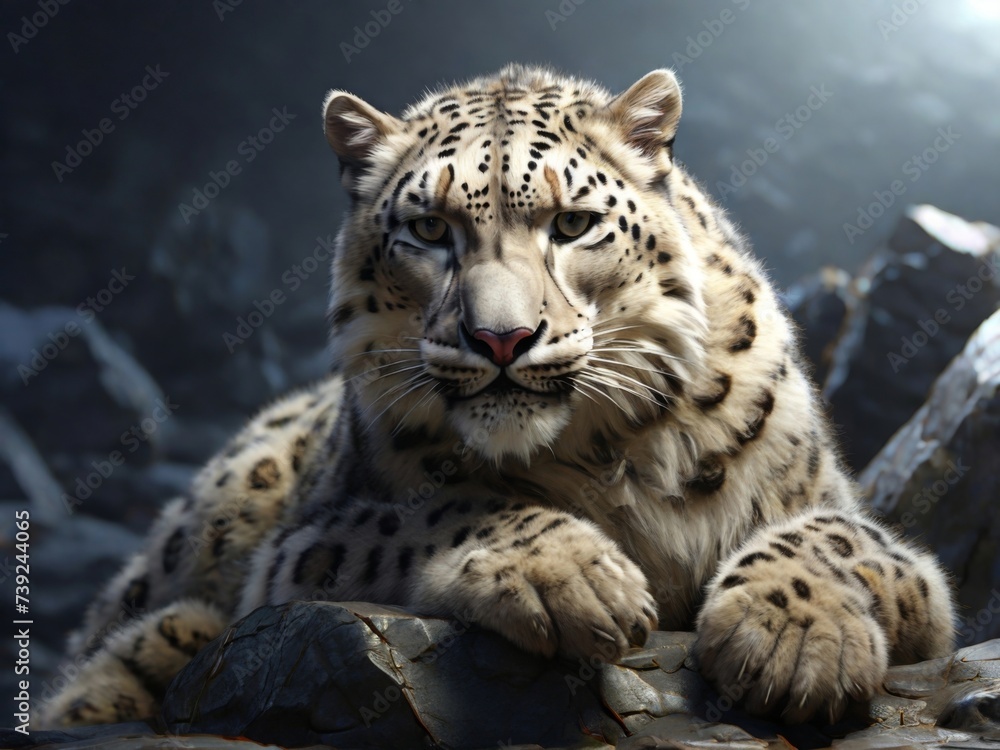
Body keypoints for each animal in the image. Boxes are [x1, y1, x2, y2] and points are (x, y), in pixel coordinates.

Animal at [40, 64, 956, 730]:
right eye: (429, 229)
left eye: (573, 223)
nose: (502, 339)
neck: (613, 457)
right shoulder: (304, 545)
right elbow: (440, 509)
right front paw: (571, 576)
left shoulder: (865, 528)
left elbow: (840, 535)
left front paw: (792, 639)